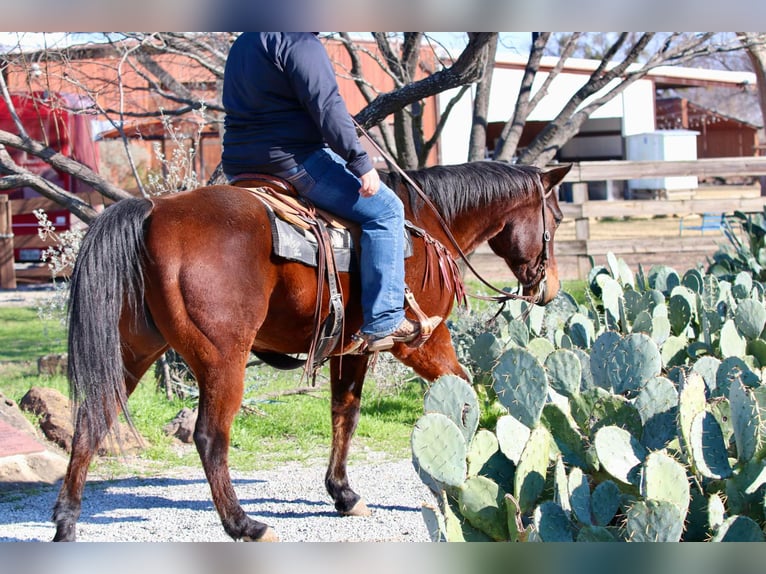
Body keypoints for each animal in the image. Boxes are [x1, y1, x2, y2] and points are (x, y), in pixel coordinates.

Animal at [52, 160, 571, 542]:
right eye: (559, 217)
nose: (549, 289)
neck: (425, 226)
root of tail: (154, 211)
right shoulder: (423, 340)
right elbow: (463, 397)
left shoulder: (352, 350)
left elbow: (345, 413)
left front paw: (343, 494)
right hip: (223, 361)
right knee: (209, 437)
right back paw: (244, 525)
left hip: (132, 353)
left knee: (91, 423)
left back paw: (66, 523)